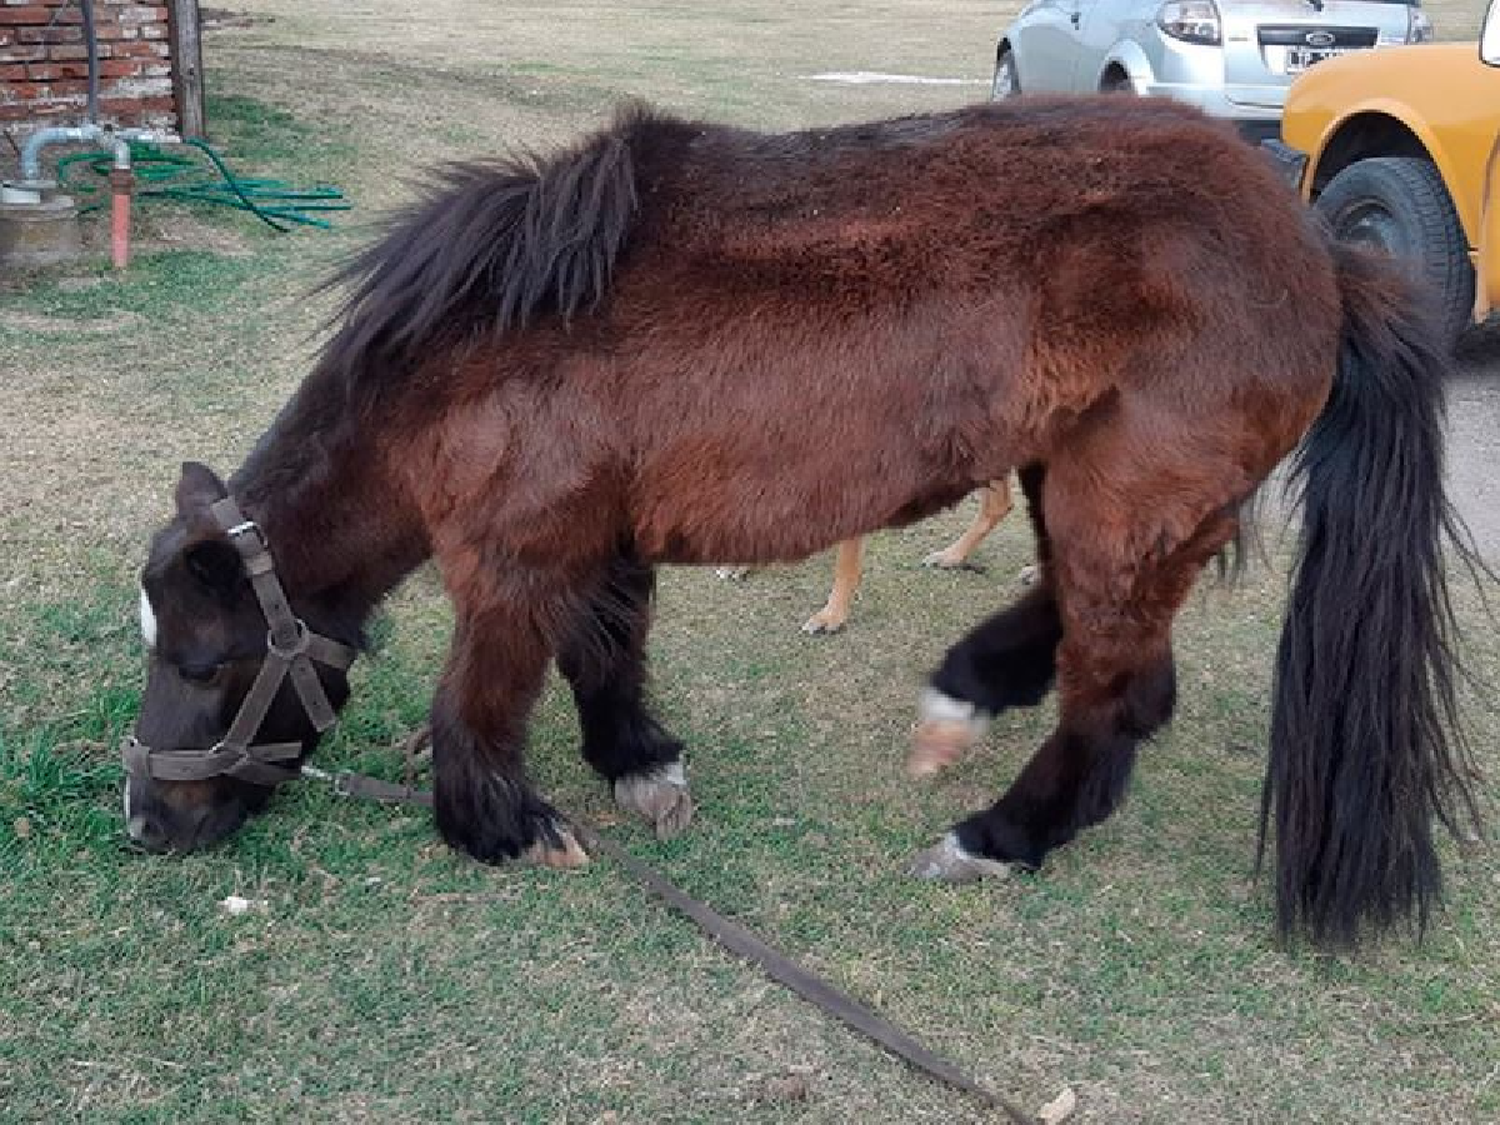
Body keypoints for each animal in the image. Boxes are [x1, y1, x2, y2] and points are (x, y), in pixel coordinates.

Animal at [126, 96, 1476, 948]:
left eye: (205, 660)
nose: (144, 826)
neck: (477, 356)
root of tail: (1321, 257)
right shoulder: (598, 542)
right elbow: (605, 653)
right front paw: (638, 764)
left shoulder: (516, 559)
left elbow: (484, 694)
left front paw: (499, 825)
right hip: (1078, 477)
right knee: (1091, 634)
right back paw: (966, 692)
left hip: (1126, 494)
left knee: (1116, 695)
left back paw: (997, 834)